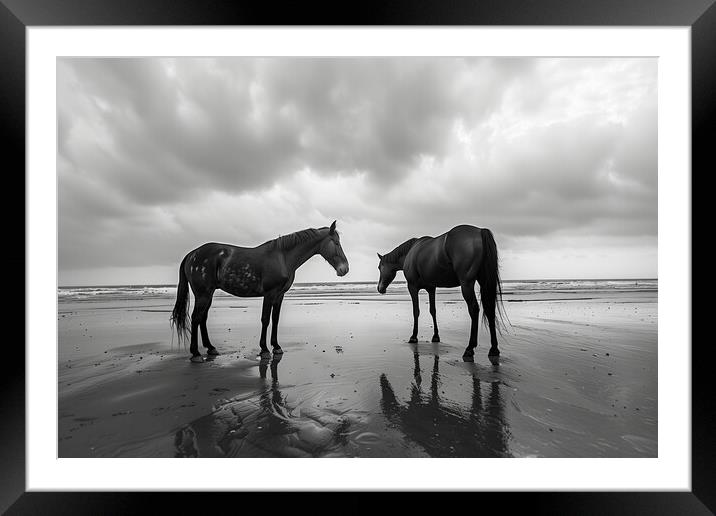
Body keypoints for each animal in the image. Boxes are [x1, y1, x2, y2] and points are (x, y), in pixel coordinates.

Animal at [171, 222, 350, 362]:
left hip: (208, 294)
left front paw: (276, 346)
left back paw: (210, 348)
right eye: (336, 243)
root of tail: (192, 254)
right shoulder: (269, 294)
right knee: (196, 318)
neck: (282, 257)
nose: (345, 269)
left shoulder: (279, 295)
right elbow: (265, 319)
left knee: (202, 318)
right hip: (203, 294)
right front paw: (264, 350)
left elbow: (275, 319)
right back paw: (195, 353)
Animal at [374, 224, 504, 360]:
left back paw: (469, 348)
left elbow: (416, 311)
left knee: (474, 309)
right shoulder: (432, 288)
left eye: (379, 267)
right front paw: (436, 336)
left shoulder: (412, 287)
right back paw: (494, 349)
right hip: (484, 281)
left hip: (467, 284)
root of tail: (479, 231)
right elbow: (433, 311)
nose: (379, 288)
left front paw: (414, 337)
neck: (411, 252)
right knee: (490, 310)